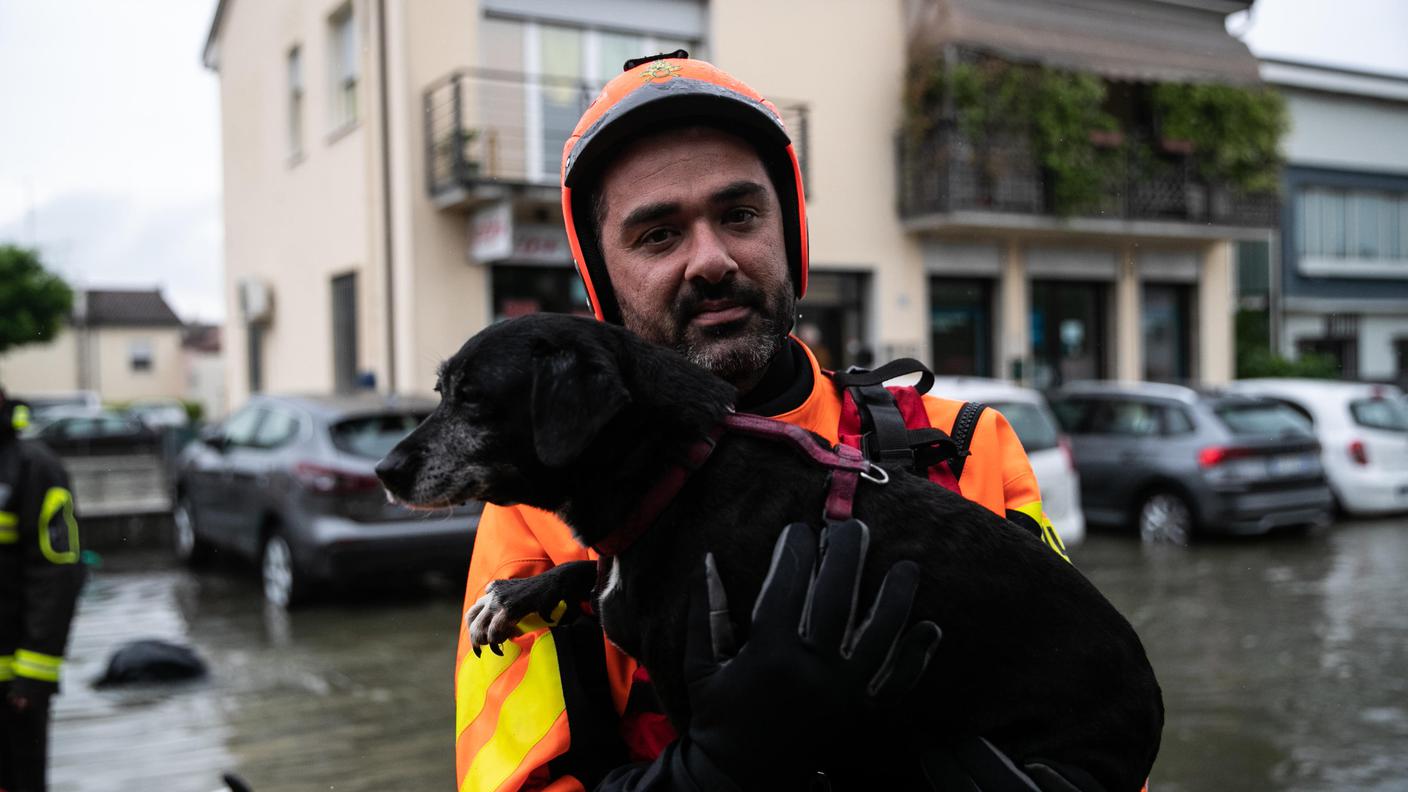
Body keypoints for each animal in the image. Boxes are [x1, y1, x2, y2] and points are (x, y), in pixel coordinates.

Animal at [380, 311, 1160, 783]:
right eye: (441, 390)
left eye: (472, 398)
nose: (385, 470)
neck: (682, 466)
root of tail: (1151, 700)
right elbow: (593, 575)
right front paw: (517, 593)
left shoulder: (691, 689)